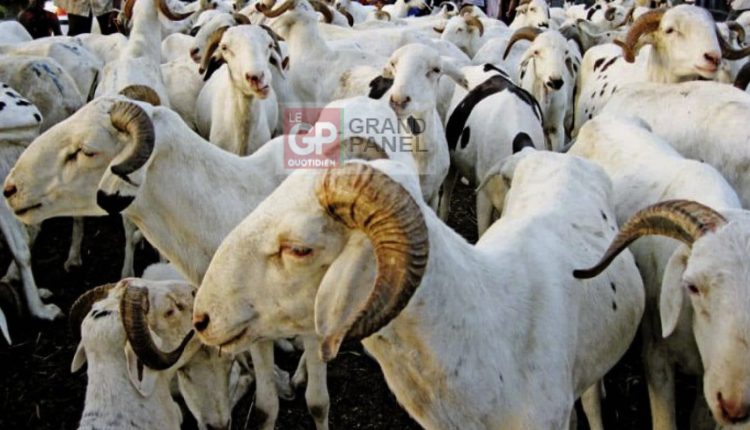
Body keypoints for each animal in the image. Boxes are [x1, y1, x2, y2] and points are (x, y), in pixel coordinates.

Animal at [569, 114, 750, 429]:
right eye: (692, 286)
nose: (735, 405)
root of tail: (599, 121)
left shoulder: (707, 377)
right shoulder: (656, 355)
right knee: (590, 398)